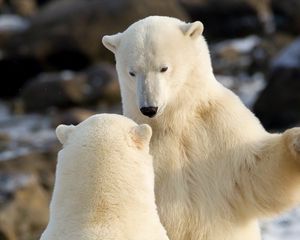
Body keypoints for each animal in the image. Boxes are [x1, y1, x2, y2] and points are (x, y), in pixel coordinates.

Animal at [102, 16, 300, 240]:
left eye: (164, 68)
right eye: (132, 72)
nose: (149, 108)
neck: (175, 120)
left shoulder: (220, 124)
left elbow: (256, 170)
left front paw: (296, 141)